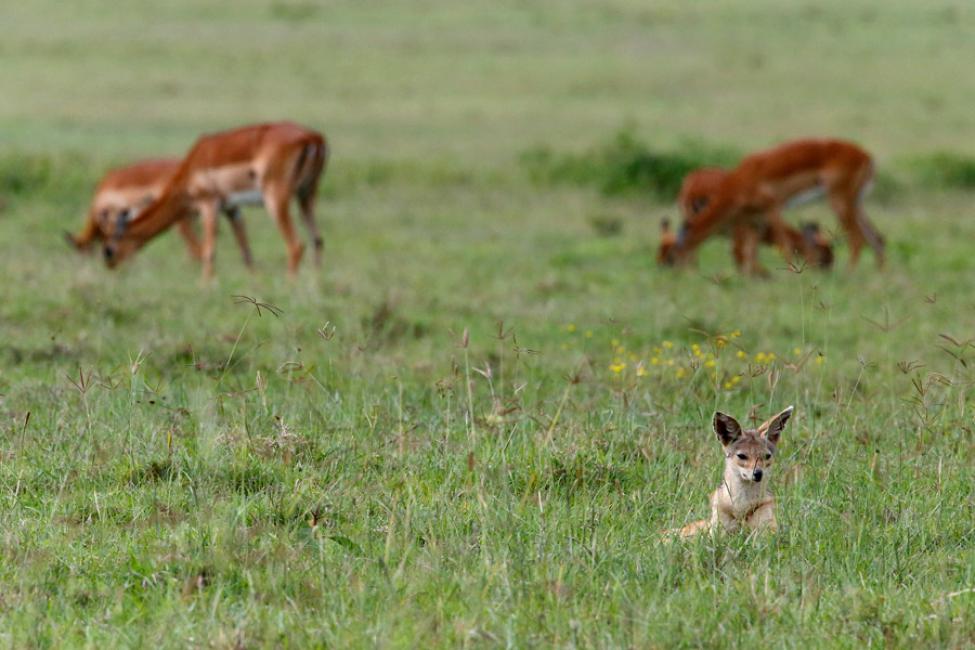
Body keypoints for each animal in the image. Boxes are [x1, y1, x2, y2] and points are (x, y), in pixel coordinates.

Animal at [104, 121, 328, 278]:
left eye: (110, 248)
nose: (111, 266)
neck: (191, 166)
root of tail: (313, 137)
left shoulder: (209, 204)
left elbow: (209, 250)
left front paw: (204, 286)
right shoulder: (232, 208)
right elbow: (246, 251)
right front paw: (255, 282)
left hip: (276, 198)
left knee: (296, 244)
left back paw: (291, 284)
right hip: (307, 195)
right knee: (317, 239)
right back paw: (316, 283)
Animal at [664, 139, 884, 274]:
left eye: (674, 255)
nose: (679, 273)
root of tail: (867, 156)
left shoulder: (773, 209)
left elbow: (782, 244)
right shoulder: (753, 219)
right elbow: (749, 252)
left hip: (840, 201)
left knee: (858, 239)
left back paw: (849, 274)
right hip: (855, 203)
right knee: (877, 237)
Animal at [668, 404, 796, 536]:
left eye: (767, 456)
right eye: (742, 456)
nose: (758, 473)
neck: (742, 508)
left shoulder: (767, 531)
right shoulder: (718, 533)